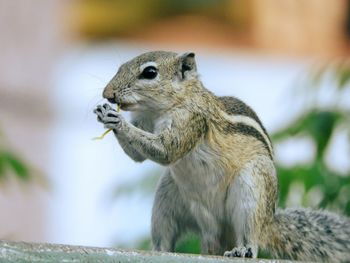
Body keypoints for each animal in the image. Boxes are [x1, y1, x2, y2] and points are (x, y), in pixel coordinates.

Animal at [94, 51, 350, 262]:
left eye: (150, 72)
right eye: (121, 66)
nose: (107, 94)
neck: (160, 109)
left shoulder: (192, 120)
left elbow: (168, 151)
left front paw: (118, 120)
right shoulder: (145, 121)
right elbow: (137, 156)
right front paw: (104, 114)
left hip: (252, 190)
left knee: (251, 235)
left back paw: (243, 249)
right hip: (166, 200)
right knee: (166, 235)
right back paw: (159, 251)